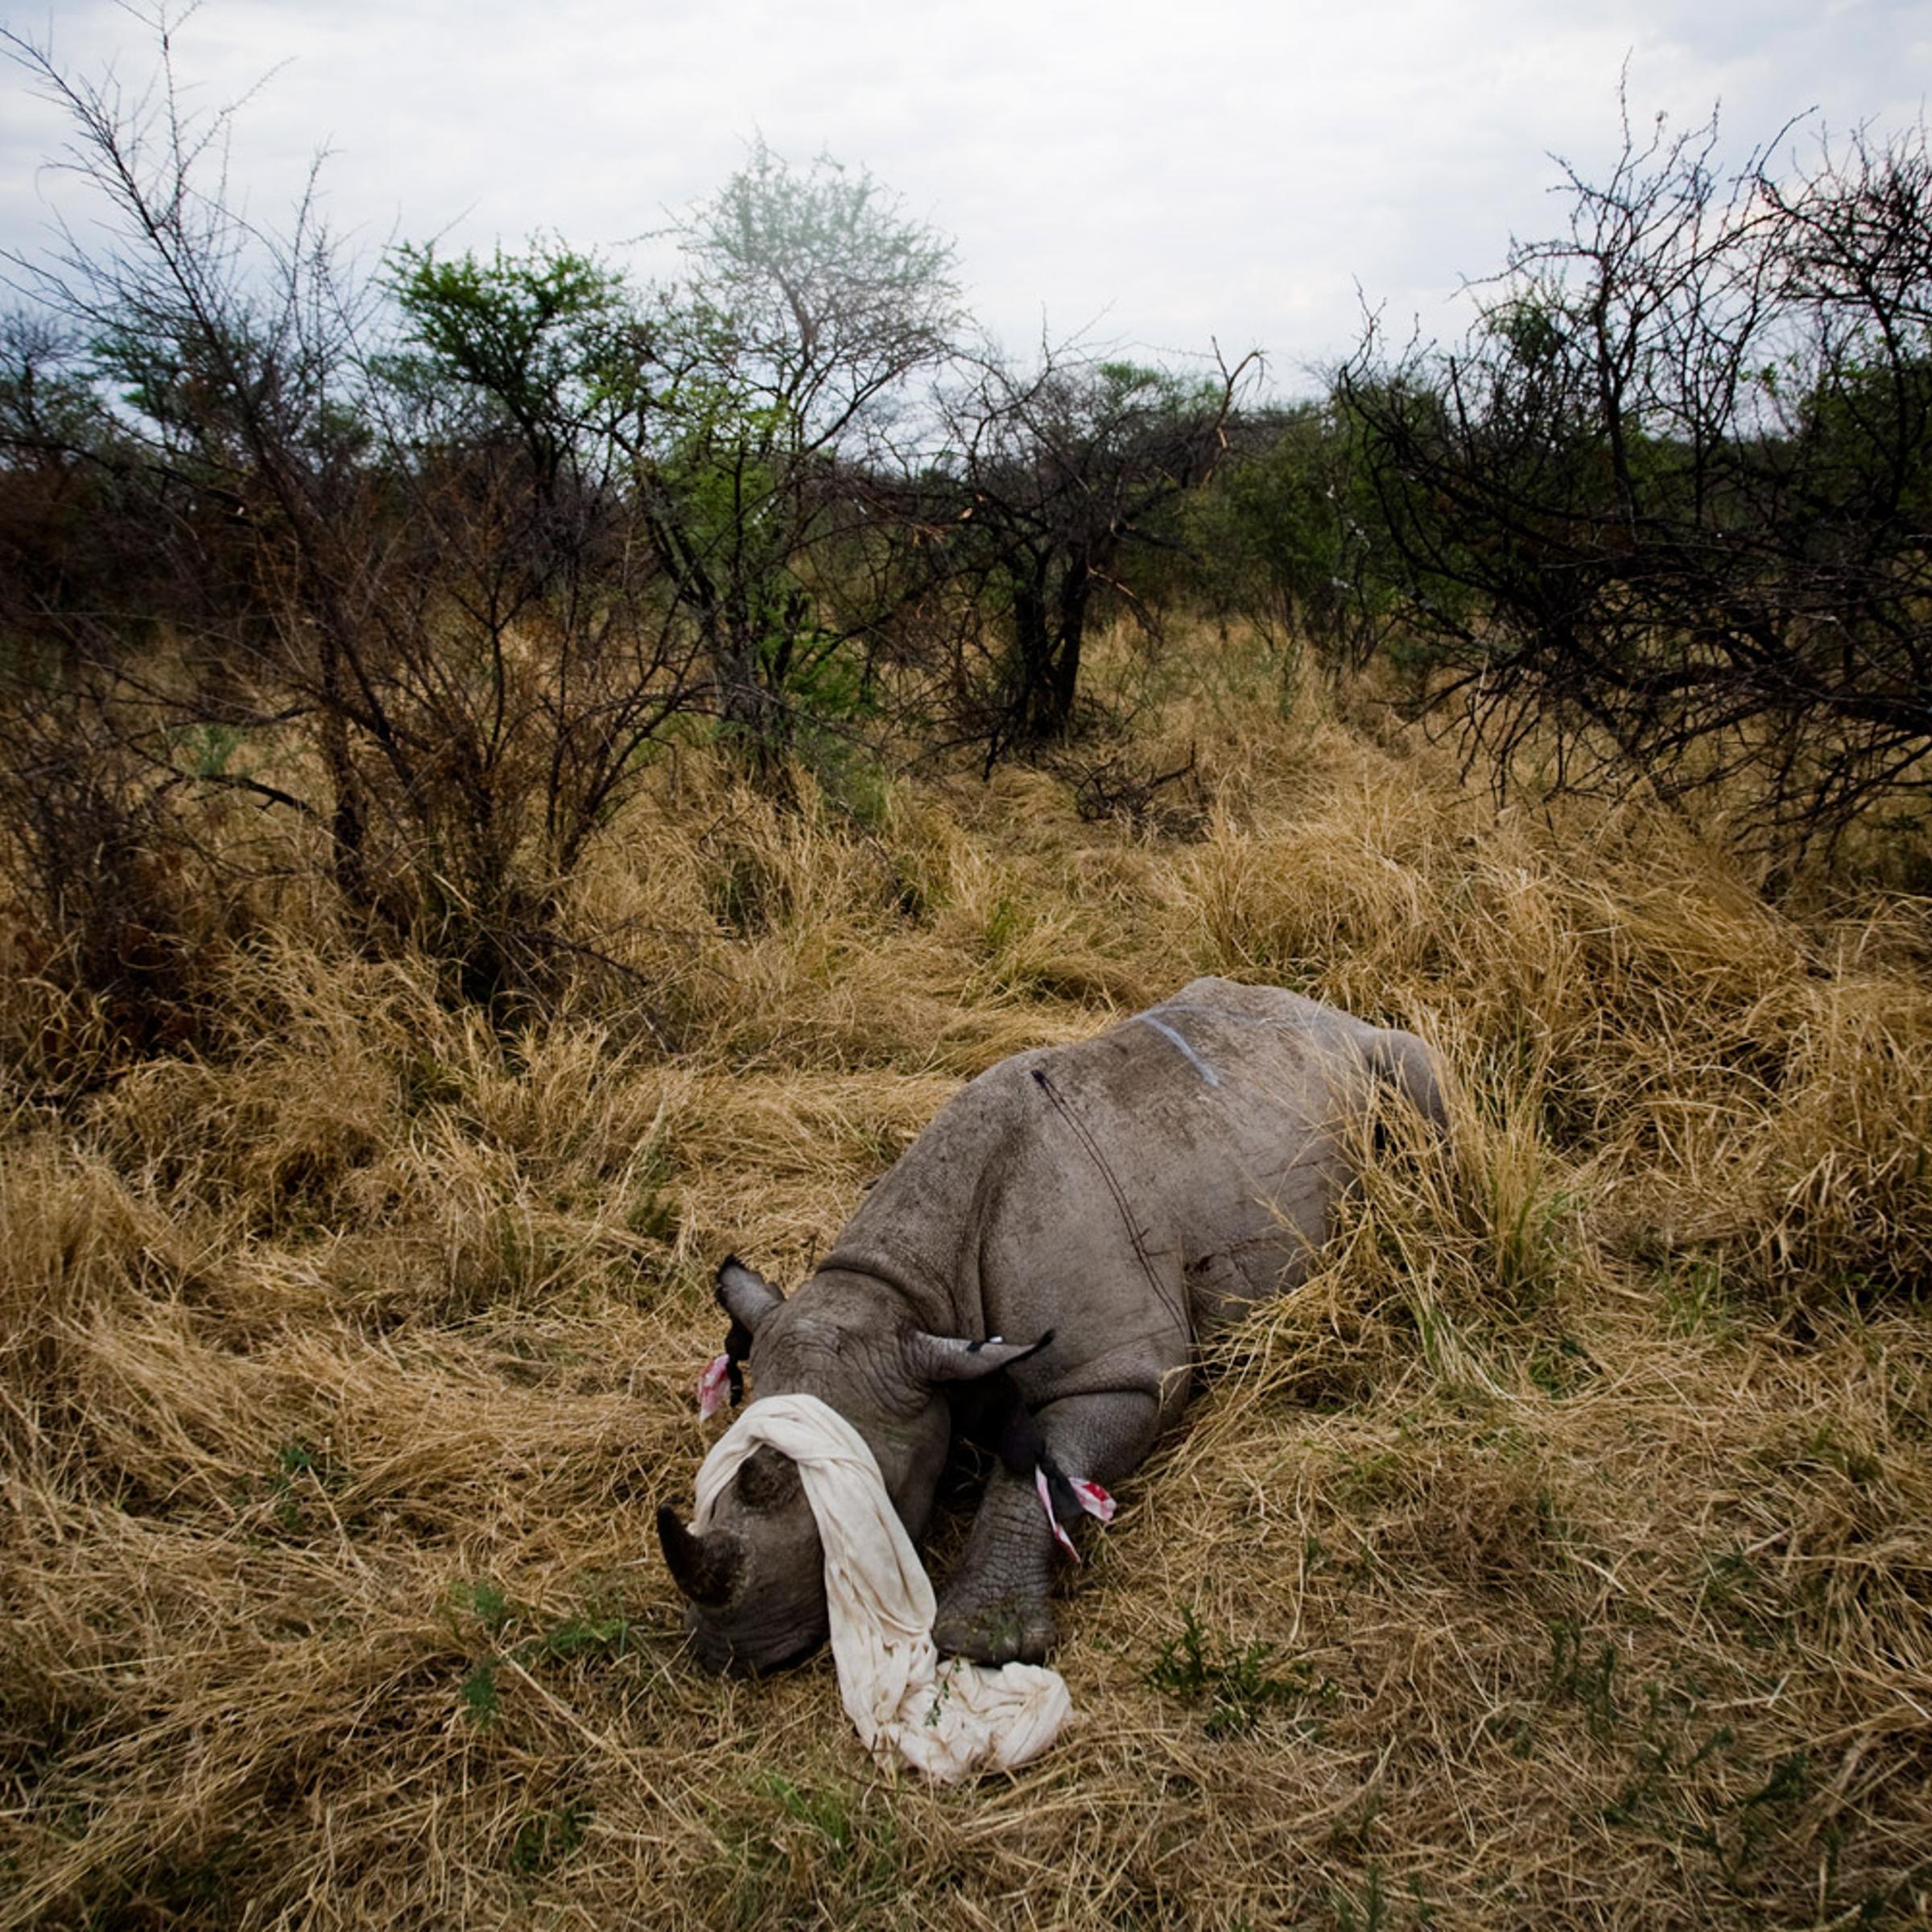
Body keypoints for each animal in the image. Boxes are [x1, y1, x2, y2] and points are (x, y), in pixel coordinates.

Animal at [658, 977, 1444, 1674]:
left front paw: (985, 1643)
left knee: (1422, 1079)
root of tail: (1320, 1006)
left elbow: (1041, 1463)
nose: (730, 1653)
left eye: (859, 1508)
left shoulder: (1124, 1373)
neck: (908, 1295)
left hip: (1372, 1054)